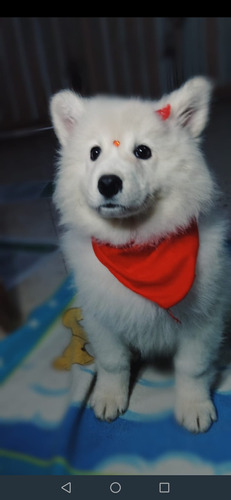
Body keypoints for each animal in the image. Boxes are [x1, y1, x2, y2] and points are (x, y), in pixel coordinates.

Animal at [50, 76, 229, 432]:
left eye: (143, 151)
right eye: (94, 153)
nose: (108, 183)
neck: (137, 248)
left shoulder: (203, 320)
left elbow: (193, 368)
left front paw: (194, 406)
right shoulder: (102, 319)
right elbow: (112, 363)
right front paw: (109, 397)